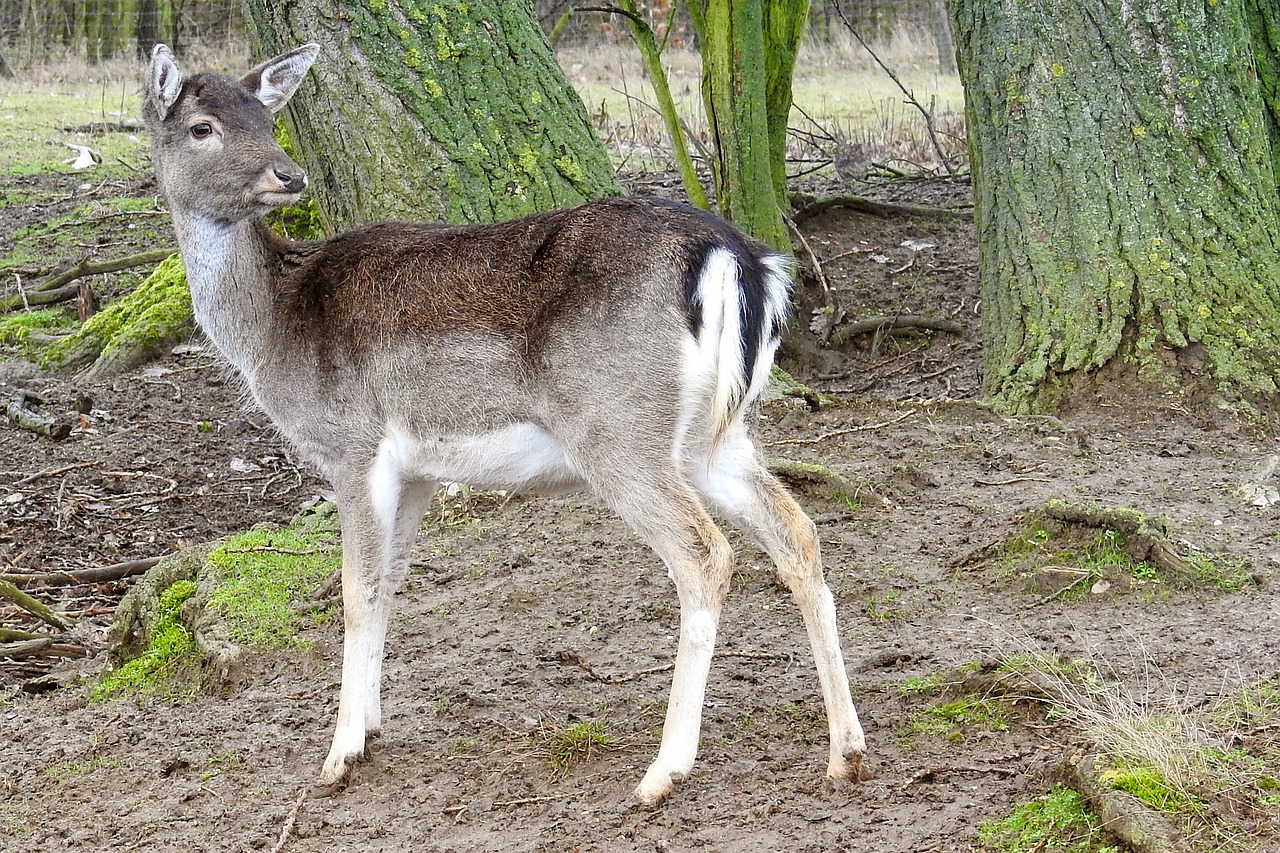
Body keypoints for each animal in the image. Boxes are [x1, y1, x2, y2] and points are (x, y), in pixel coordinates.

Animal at [145, 41, 870, 804]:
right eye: (204, 126)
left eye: (263, 116)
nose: (288, 175)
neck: (275, 327)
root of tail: (744, 260)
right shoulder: (418, 471)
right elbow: (391, 580)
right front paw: (370, 728)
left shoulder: (354, 446)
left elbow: (355, 588)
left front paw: (339, 755)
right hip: (716, 434)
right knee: (797, 531)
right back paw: (845, 751)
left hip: (618, 430)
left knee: (705, 553)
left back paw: (664, 769)